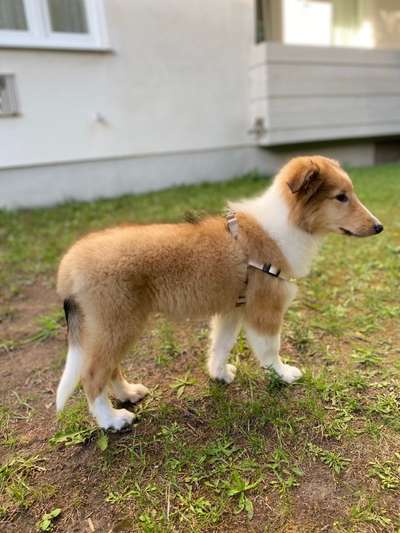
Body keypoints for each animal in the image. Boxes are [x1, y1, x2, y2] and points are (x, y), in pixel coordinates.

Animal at [54, 156, 382, 430]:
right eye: (341, 197)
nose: (379, 227)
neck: (282, 225)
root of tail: (69, 264)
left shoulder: (232, 310)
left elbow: (220, 345)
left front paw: (219, 375)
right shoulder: (265, 310)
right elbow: (270, 349)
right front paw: (283, 375)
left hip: (111, 329)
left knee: (108, 368)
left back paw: (128, 393)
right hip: (118, 324)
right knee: (92, 375)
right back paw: (111, 420)